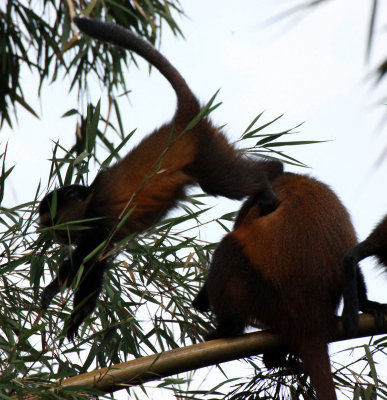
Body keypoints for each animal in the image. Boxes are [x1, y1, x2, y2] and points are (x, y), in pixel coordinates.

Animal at [39, 18, 282, 338]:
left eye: (52, 220)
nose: (51, 234)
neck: (88, 198)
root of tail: (184, 121)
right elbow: (89, 265)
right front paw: (53, 290)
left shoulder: (97, 221)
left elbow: (90, 267)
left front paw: (75, 318)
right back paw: (274, 171)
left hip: (206, 151)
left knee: (223, 181)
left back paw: (269, 179)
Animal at [194, 173, 387, 400]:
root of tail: (311, 320)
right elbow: (351, 257)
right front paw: (368, 304)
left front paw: (201, 300)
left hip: (267, 300)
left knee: (229, 249)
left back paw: (228, 328)